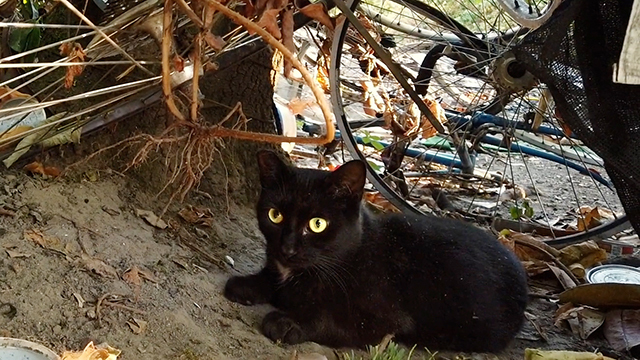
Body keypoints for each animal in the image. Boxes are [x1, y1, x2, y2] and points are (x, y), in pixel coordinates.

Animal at [222, 150, 528, 352]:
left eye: (317, 224)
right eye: (275, 216)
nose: (287, 248)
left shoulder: (384, 321)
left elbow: (328, 321)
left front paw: (287, 323)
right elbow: (272, 281)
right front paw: (246, 284)